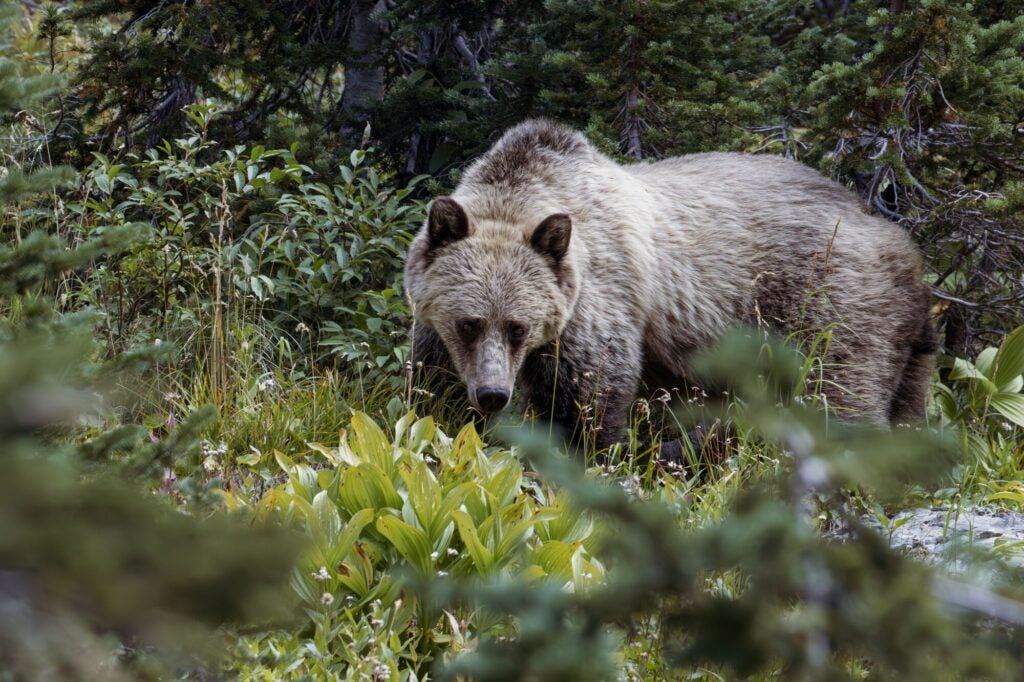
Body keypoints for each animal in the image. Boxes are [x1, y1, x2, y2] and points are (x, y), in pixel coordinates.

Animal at [401, 119, 937, 450]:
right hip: (903, 337)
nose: (493, 393)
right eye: (469, 323)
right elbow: (430, 387)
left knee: (840, 391)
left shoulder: (594, 301)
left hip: (829, 298)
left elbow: (593, 393)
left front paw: (588, 452)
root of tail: (900, 241)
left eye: (518, 326)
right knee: (906, 399)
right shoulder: (436, 323)